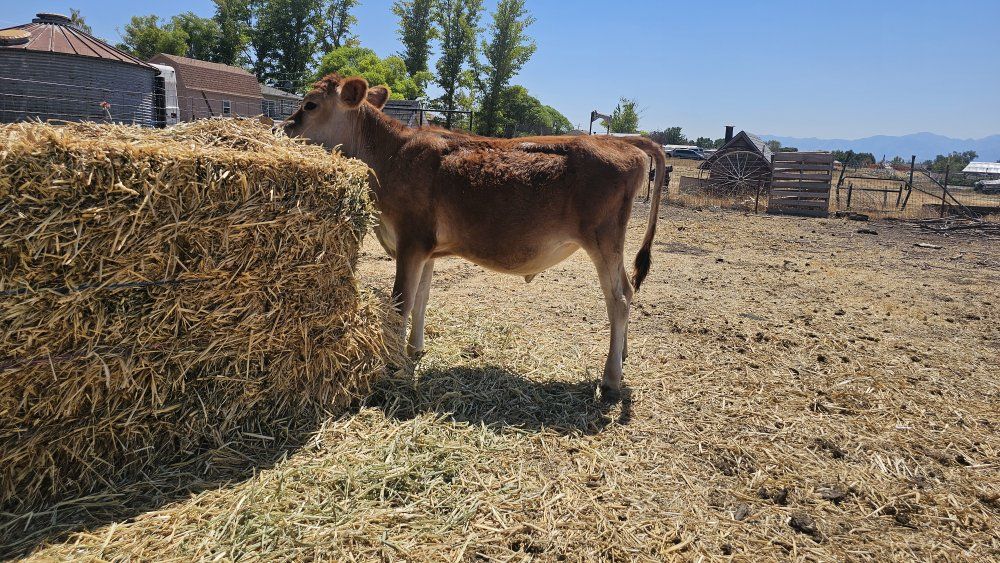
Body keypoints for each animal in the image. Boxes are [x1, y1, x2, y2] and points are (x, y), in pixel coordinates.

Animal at [284, 74, 668, 402]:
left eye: (311, 104)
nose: (283, 128)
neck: (391, 155)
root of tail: (622, 145)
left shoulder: (410, 241)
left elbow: (400, 303)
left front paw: (393, 364)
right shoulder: (426, 249)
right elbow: (421, 299)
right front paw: (414, 350)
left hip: (602, 240)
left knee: (618, 299)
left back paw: (611, 379)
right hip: (612, 245)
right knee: (629, 289)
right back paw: (623, 356)